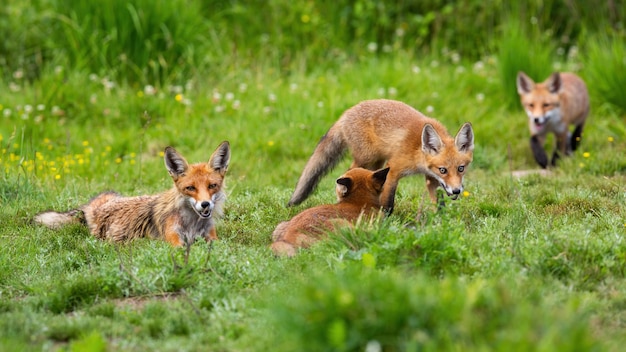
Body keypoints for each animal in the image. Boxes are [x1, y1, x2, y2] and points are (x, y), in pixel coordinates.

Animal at [34, 141, 230, 248]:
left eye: (212, 186)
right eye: (190, 188)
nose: (205, 204)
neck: (192, 224)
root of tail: (93, 206)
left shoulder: (211, 237)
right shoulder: (173, 239)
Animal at [288, 99, 472, 214]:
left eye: (461, 168)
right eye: (443, 170)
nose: (456, 190)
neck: (418, 150)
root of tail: (345, 113)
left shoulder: (430, 178)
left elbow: (439, 204)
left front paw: (441, 222)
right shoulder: (393, 169)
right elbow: (388, 203)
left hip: (376, 164)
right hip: (366, 159)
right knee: (347, 174)